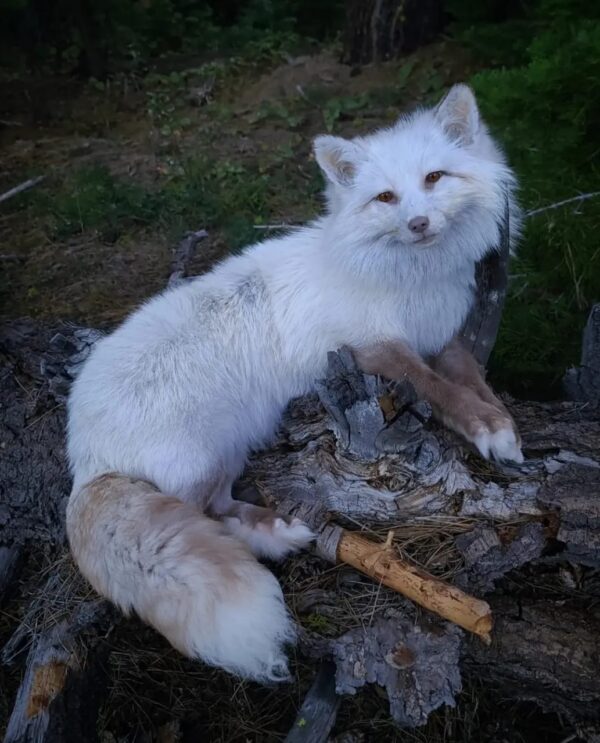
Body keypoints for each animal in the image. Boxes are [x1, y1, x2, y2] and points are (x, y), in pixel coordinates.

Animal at [66, 84, 523, 684]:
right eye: (385, 197)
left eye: (434, 178)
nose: (419, 225)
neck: (411, 281)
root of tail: (84, 459)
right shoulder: (373, 346)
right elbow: (438, 391)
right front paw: (484, 428)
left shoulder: (441, 338)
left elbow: (476, 384)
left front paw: (501, 427)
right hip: (208, 453)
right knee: (207, 514)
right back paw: (276, 537)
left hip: (230, 450)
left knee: (220, 509)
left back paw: (281, 529)